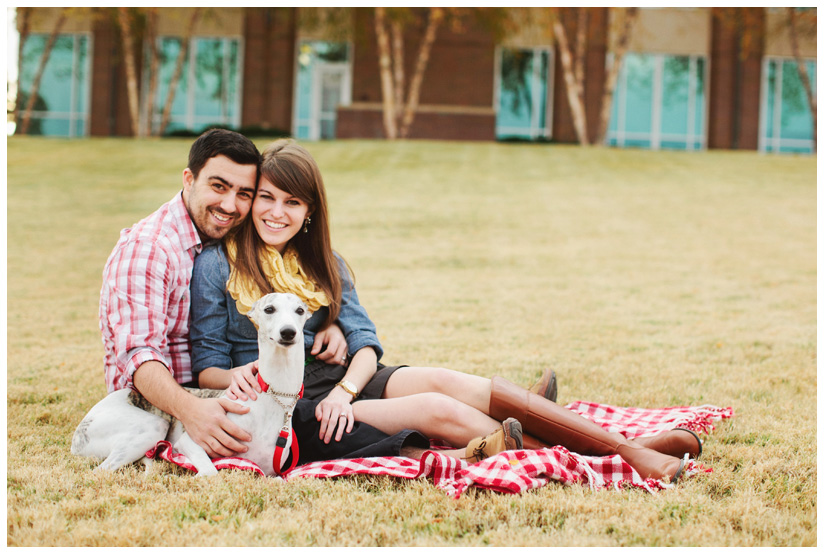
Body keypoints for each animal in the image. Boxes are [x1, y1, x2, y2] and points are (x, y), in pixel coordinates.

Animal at [70, 294, 308, 480]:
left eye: (300, 310)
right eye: (269, 309)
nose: (288, 332)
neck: (275, 399)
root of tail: (76, 439)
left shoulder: (270, 472)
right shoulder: (192, 441)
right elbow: (211, 472)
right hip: (152, 425)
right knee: (100, 471)